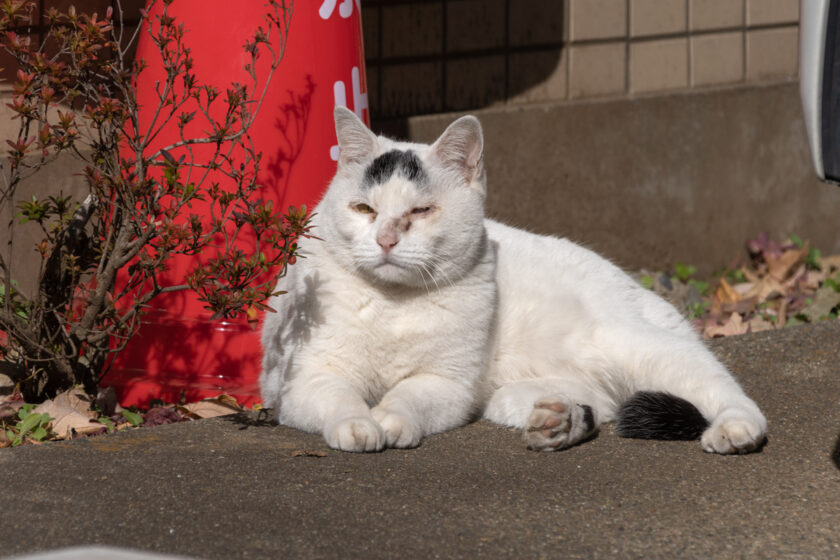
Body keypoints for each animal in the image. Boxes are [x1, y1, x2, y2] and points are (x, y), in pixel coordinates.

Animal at [260, 108, 768, 456]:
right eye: (364, 209)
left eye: (421, 211)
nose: (385, 239)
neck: (392, 305)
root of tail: (640, 291)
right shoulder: (298, 382)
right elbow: (339, 397)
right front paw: (359, 425)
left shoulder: (445, 385)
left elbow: (407, 398)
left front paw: (391, 420)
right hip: (510, 396)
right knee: (602, 404)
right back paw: (560, 422)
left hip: (635, 342)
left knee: (720, 384)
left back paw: (735, 430)